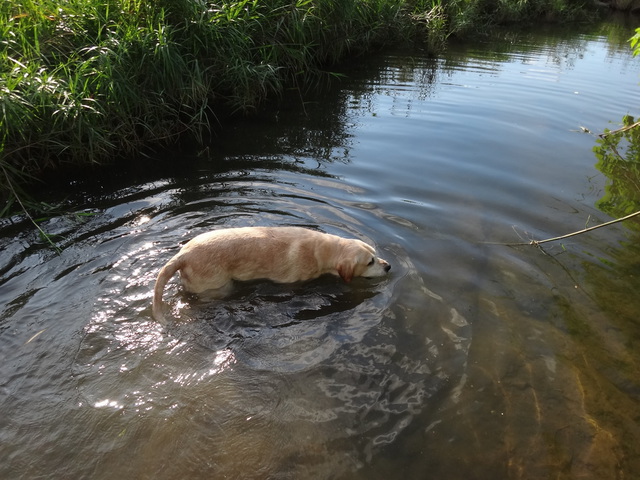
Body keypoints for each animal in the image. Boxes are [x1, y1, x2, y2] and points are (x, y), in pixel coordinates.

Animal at [153, 226, 392, 322]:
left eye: (375, 254)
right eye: (370, 262)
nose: (388, 266)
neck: (322, 250)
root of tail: (183, 255)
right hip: (216, 288)